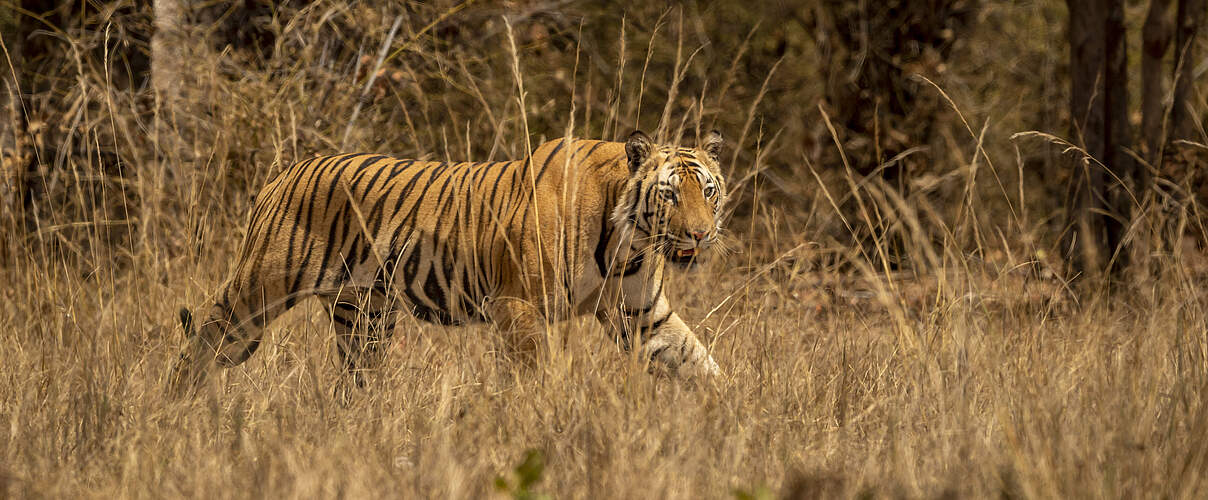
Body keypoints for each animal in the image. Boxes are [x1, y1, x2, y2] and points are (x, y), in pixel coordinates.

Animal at [170, 129, 724, 393]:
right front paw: (545, 415)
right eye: (670, 194)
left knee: (355, 379)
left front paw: (735, 417)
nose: (701, 234)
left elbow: (699, 361)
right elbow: (535, 373)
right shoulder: (518, 305)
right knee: (204, 341)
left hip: (364, 316)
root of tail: (285, 172)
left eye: (708, 190)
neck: (628, 240)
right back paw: (177, 407)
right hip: (259, 291)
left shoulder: (642, 314)